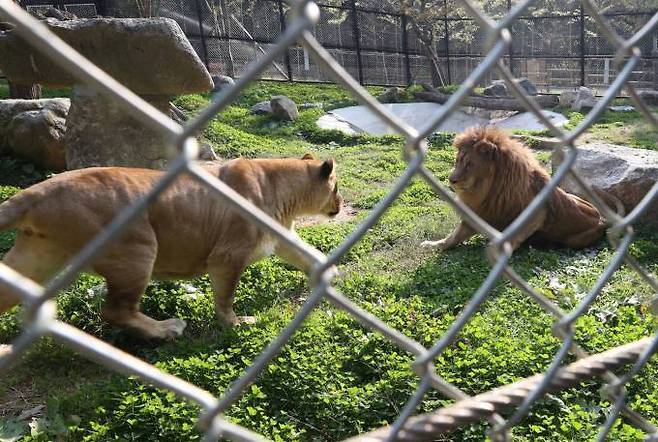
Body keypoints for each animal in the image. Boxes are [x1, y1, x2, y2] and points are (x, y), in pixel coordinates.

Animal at [0, 154, 340, 340]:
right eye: (336, 188)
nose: (340, 204)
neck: (281, 191)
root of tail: (37, 191)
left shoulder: (280, 237)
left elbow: (308, 254)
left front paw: (330, 274)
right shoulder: (227, 256)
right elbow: (226, 297)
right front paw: (236, 324)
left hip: (36, 256)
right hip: (136, 250)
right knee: (114, 310)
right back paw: (166, 329)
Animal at [420, 127, 604, 252]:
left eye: (469, 165)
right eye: (457, 161)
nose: (451, 180)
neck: (487, 190)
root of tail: (602, 219)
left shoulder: (537, 212)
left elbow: (517, 233)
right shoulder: (477, 214)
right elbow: (452, 237)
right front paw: (432, 244)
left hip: (578, 238)